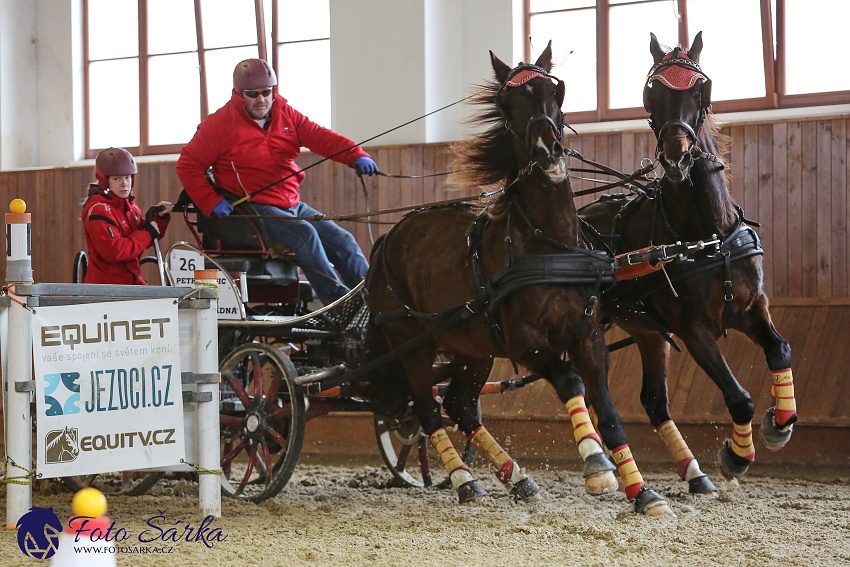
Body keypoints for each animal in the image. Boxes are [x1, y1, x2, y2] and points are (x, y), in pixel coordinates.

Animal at [362, 42, 672, 516]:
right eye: (507, 104)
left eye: (556, 91)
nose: (547, 150)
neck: (549, 245)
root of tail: (388, 238)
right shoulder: (525, 340)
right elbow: (569, 381)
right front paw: (597, 465)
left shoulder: (586, 335)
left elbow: (606, 406)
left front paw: (642, 491)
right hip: (412, 343)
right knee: (428, 409)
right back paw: (465, 480)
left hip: (471, 347)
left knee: (461, 405)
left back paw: (517, 478)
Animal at [580, 33, 792, 492]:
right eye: (653, 93)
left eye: (699, 90)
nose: (677, 155)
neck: (707, 236)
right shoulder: (694, 330)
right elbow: (739, 398)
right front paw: (736, 456)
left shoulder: (751, 308)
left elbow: (779, 350)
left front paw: (780, 424)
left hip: (645, 330)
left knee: (653, 400)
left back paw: (692, 473)